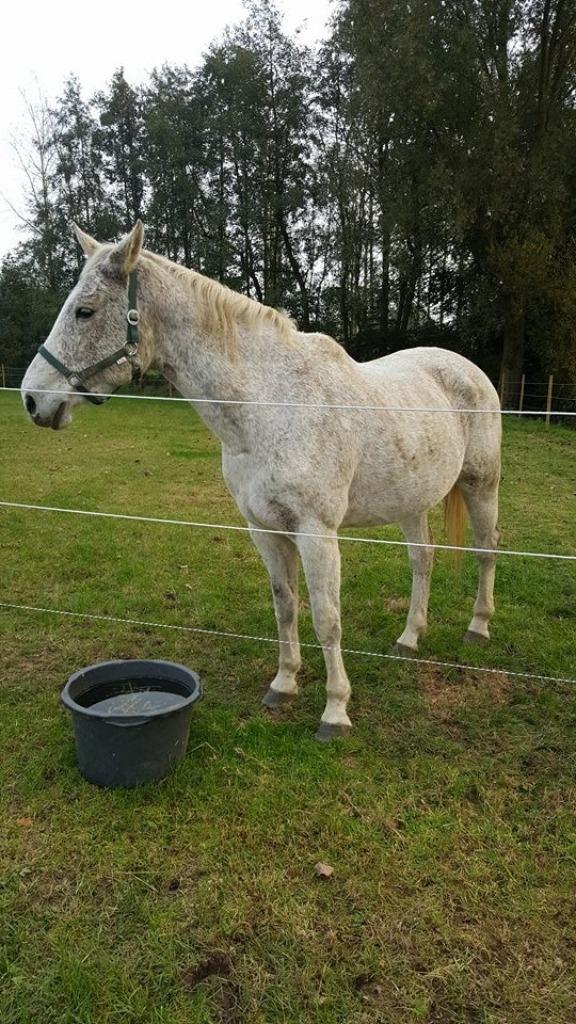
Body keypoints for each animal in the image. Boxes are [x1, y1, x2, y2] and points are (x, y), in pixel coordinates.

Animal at [21, 222, 501, 740]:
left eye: (85, 311)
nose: (32, 400)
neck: (270, 404)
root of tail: (466, 368)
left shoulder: (316, 532)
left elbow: (327, 619)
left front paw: (335, 712)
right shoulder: (264, 529)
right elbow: (285, 606)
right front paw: (283, 686)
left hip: (482, 485)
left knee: (486, 550)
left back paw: (478, 627)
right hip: (411, 501)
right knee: (422, 561)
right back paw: (409, 639)